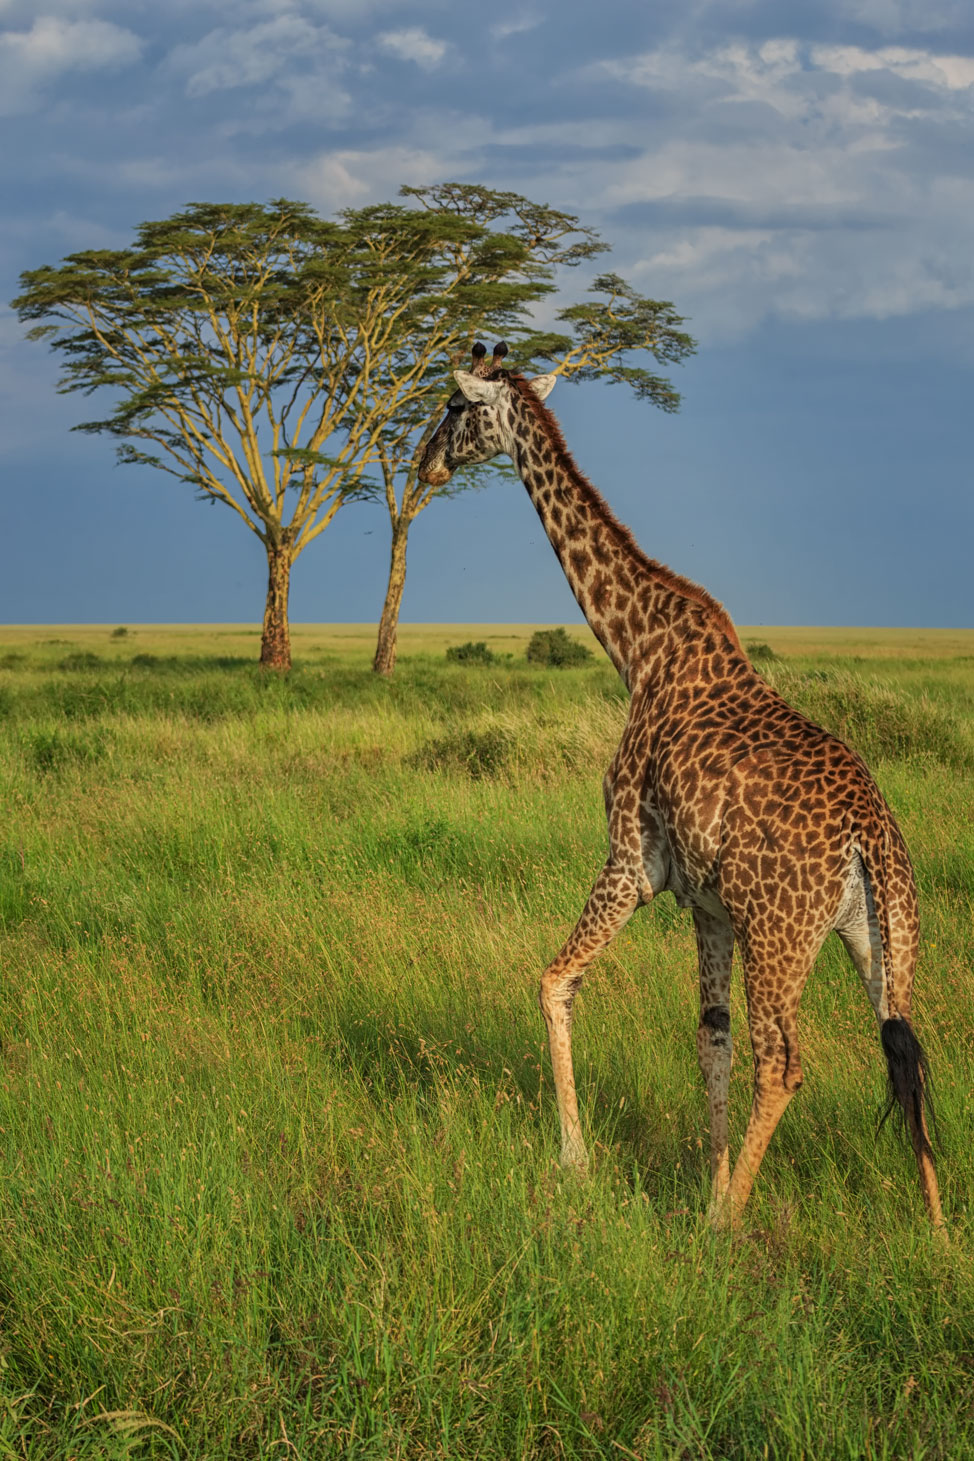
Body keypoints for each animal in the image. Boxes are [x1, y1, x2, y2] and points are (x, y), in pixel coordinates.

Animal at [417, 341, 946, 1233]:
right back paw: (939, 1233)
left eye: (455, 408)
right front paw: (704, 1183)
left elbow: (555, 980)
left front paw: (581, 1161)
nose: (423, 466)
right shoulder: (707, 905)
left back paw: (730, 1224)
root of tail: (868, 835)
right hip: (880, 937)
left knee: (786, 1062)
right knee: (904, 1047)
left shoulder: (633, 861)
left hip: (781, 935)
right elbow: (710, 1039)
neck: (637, 647)